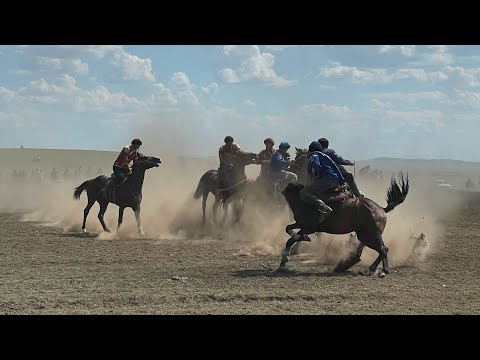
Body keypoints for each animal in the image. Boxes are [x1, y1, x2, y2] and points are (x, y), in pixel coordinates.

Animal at [278, 169, 408, 278]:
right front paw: (283, 264)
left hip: (369, 236)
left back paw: (375, 270)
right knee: (384, 249)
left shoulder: (309, 227)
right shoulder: (301, 224)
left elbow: (291, 239)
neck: (303, 201)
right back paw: (378, 270)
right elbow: (288, 230)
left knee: (383, 249)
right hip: (371, 236)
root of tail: (381, 209)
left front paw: (284, 262)